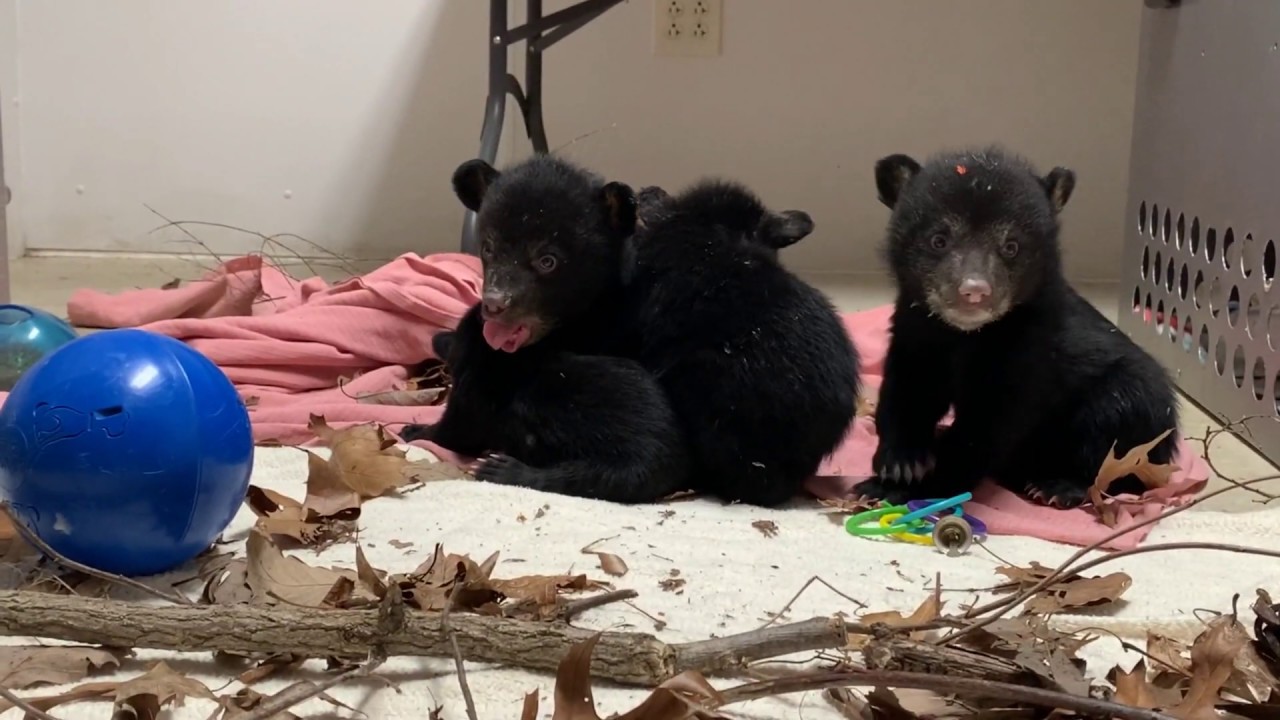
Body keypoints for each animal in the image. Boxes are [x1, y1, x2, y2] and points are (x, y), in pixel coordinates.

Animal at [398, 301, 692, 503]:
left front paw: (412, 431)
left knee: (573, 478)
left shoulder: (467, 405)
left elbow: (451, 432)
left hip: (623, 468)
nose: (435, 337)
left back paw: (506, 470)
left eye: (458, 332)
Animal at [856, 145, 1180, 508]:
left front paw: (907, 486)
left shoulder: (1029, 349)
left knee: (1110, 440)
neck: (964, 335)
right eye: (938, 240)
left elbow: (989, 425)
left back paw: (1058, 486)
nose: (974, 291)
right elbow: (909, 388)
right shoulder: (916, 331)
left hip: (1134, 403)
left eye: (1011, 247)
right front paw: (900, 464)